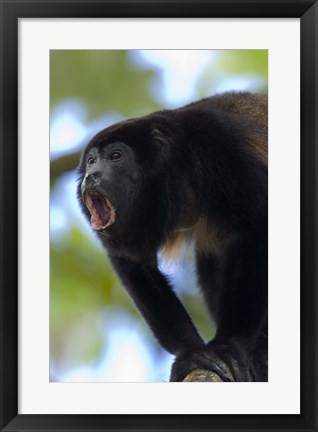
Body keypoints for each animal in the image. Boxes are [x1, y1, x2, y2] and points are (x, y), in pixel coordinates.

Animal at [78, 93, 268, 384]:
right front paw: (191, 353)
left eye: (115, 156)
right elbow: (135, 264)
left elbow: (256, 226)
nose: (91, 176)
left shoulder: (218, 146)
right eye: (91, 161)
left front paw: (230, 345)